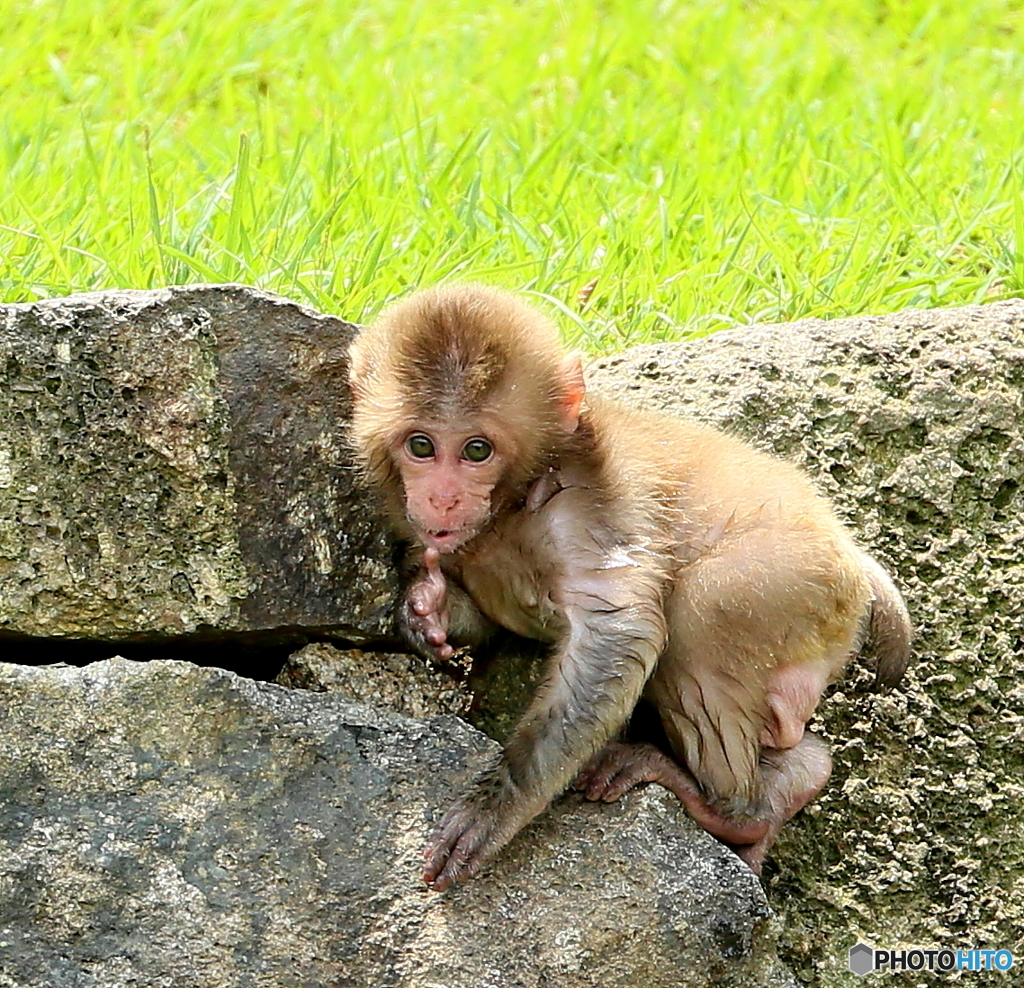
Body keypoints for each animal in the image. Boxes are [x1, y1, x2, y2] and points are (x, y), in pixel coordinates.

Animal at [348, 280, 909, 888]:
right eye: (421, 446)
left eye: (477, 450)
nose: (443, 498)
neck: (514, 504)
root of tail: (854, 553)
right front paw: (427, 610)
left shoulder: (585, 504)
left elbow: (617, 632)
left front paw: (498, 802)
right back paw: (800, 774)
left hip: (803, 579)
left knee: (703, 608)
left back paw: (735, 810)